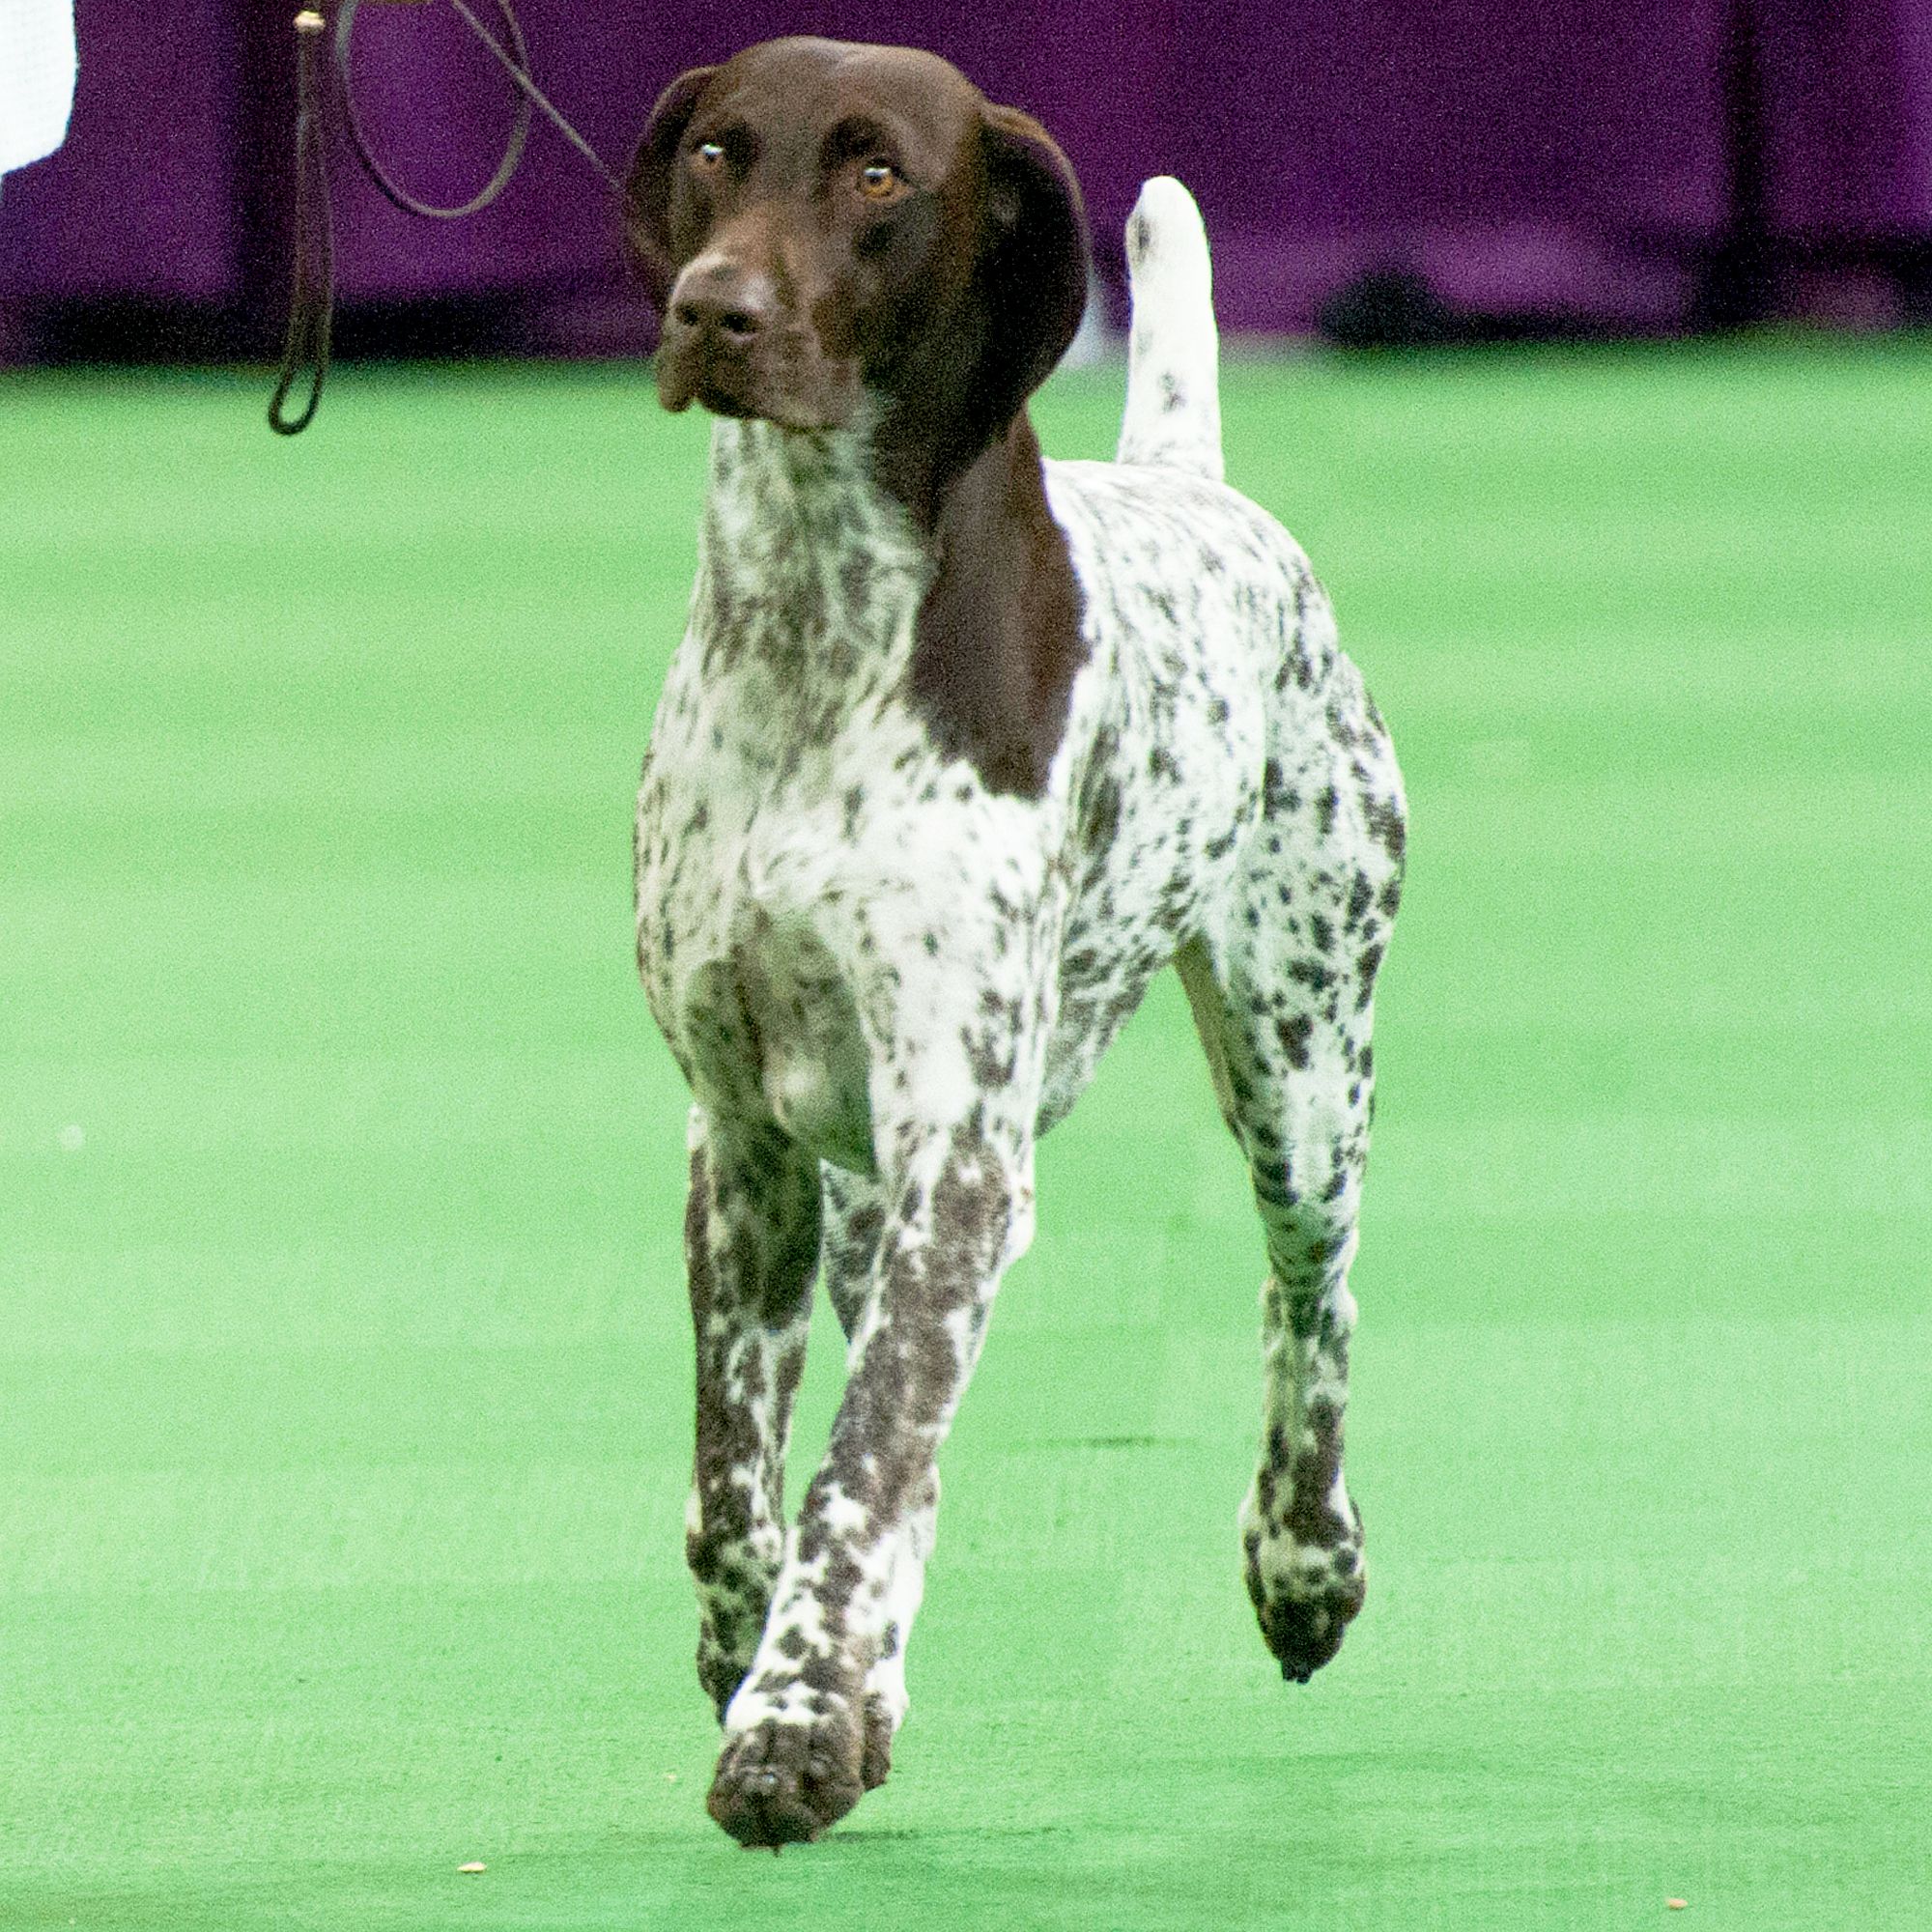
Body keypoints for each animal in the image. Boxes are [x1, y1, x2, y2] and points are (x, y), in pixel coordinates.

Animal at [630, 38, 1406, 1847]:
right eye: (716, 152)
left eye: (879, 176)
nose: (713, 310)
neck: (814, 632)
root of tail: (1195, 486)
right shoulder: (745, 1141)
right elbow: (744, 1477)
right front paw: (771, 1664)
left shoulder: (963, 1155)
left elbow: (862, 1467)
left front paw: (792, 1718)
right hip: (867, 1193)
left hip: (1302, 1074)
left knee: (1309, 1309)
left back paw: (1304, 1565)